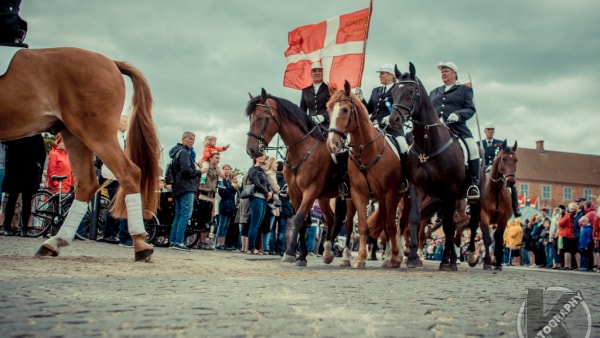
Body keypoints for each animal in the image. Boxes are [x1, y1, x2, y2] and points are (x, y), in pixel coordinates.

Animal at [0, 46, 159, 262]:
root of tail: (111, 62)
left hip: (93, 133)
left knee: (128, 173)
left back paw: (140, 244)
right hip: (76, 135)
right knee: (87, 184)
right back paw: (55, 242)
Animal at [246, 89, 354, 266]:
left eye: (262, 117)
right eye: (250, 118)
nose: (251, 150)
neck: (304, 149)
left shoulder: (311, 191)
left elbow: (298, 219)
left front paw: (290, 252)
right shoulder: (295, 193)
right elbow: (303, 221)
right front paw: (301, 255)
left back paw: (345, 255)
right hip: (325, 198)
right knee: (332, 220)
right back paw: (328, 251)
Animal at [326, 80, 406, 268]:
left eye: (344, 109)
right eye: (329, 108)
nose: (332, 144)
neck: (367, 151)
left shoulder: (389, 194)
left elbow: (390, 226)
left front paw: (394, 257)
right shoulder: (357, 194)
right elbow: (361, 225)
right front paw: (360, 257)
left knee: (401, 226)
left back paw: (399, 256)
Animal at [390, 62, 482, 270]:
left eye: (411, 91)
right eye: (393, 92)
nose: (393, 120)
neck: (428, 144)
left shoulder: (450, 190)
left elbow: (449, 226)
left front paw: (448, 261)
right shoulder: (417, 188)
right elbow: (415, 219)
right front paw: (413, 257)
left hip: (472, 198)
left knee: (469, 224)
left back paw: (466, 256)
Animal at [478, 139, 516, 270]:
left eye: (516, 160)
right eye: (503, 158)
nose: (510, 182)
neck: (495, 188)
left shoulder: (503, 219)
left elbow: (498, 239)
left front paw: (497, 263)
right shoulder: (484, 216)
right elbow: (487, 238)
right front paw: (487, 263)